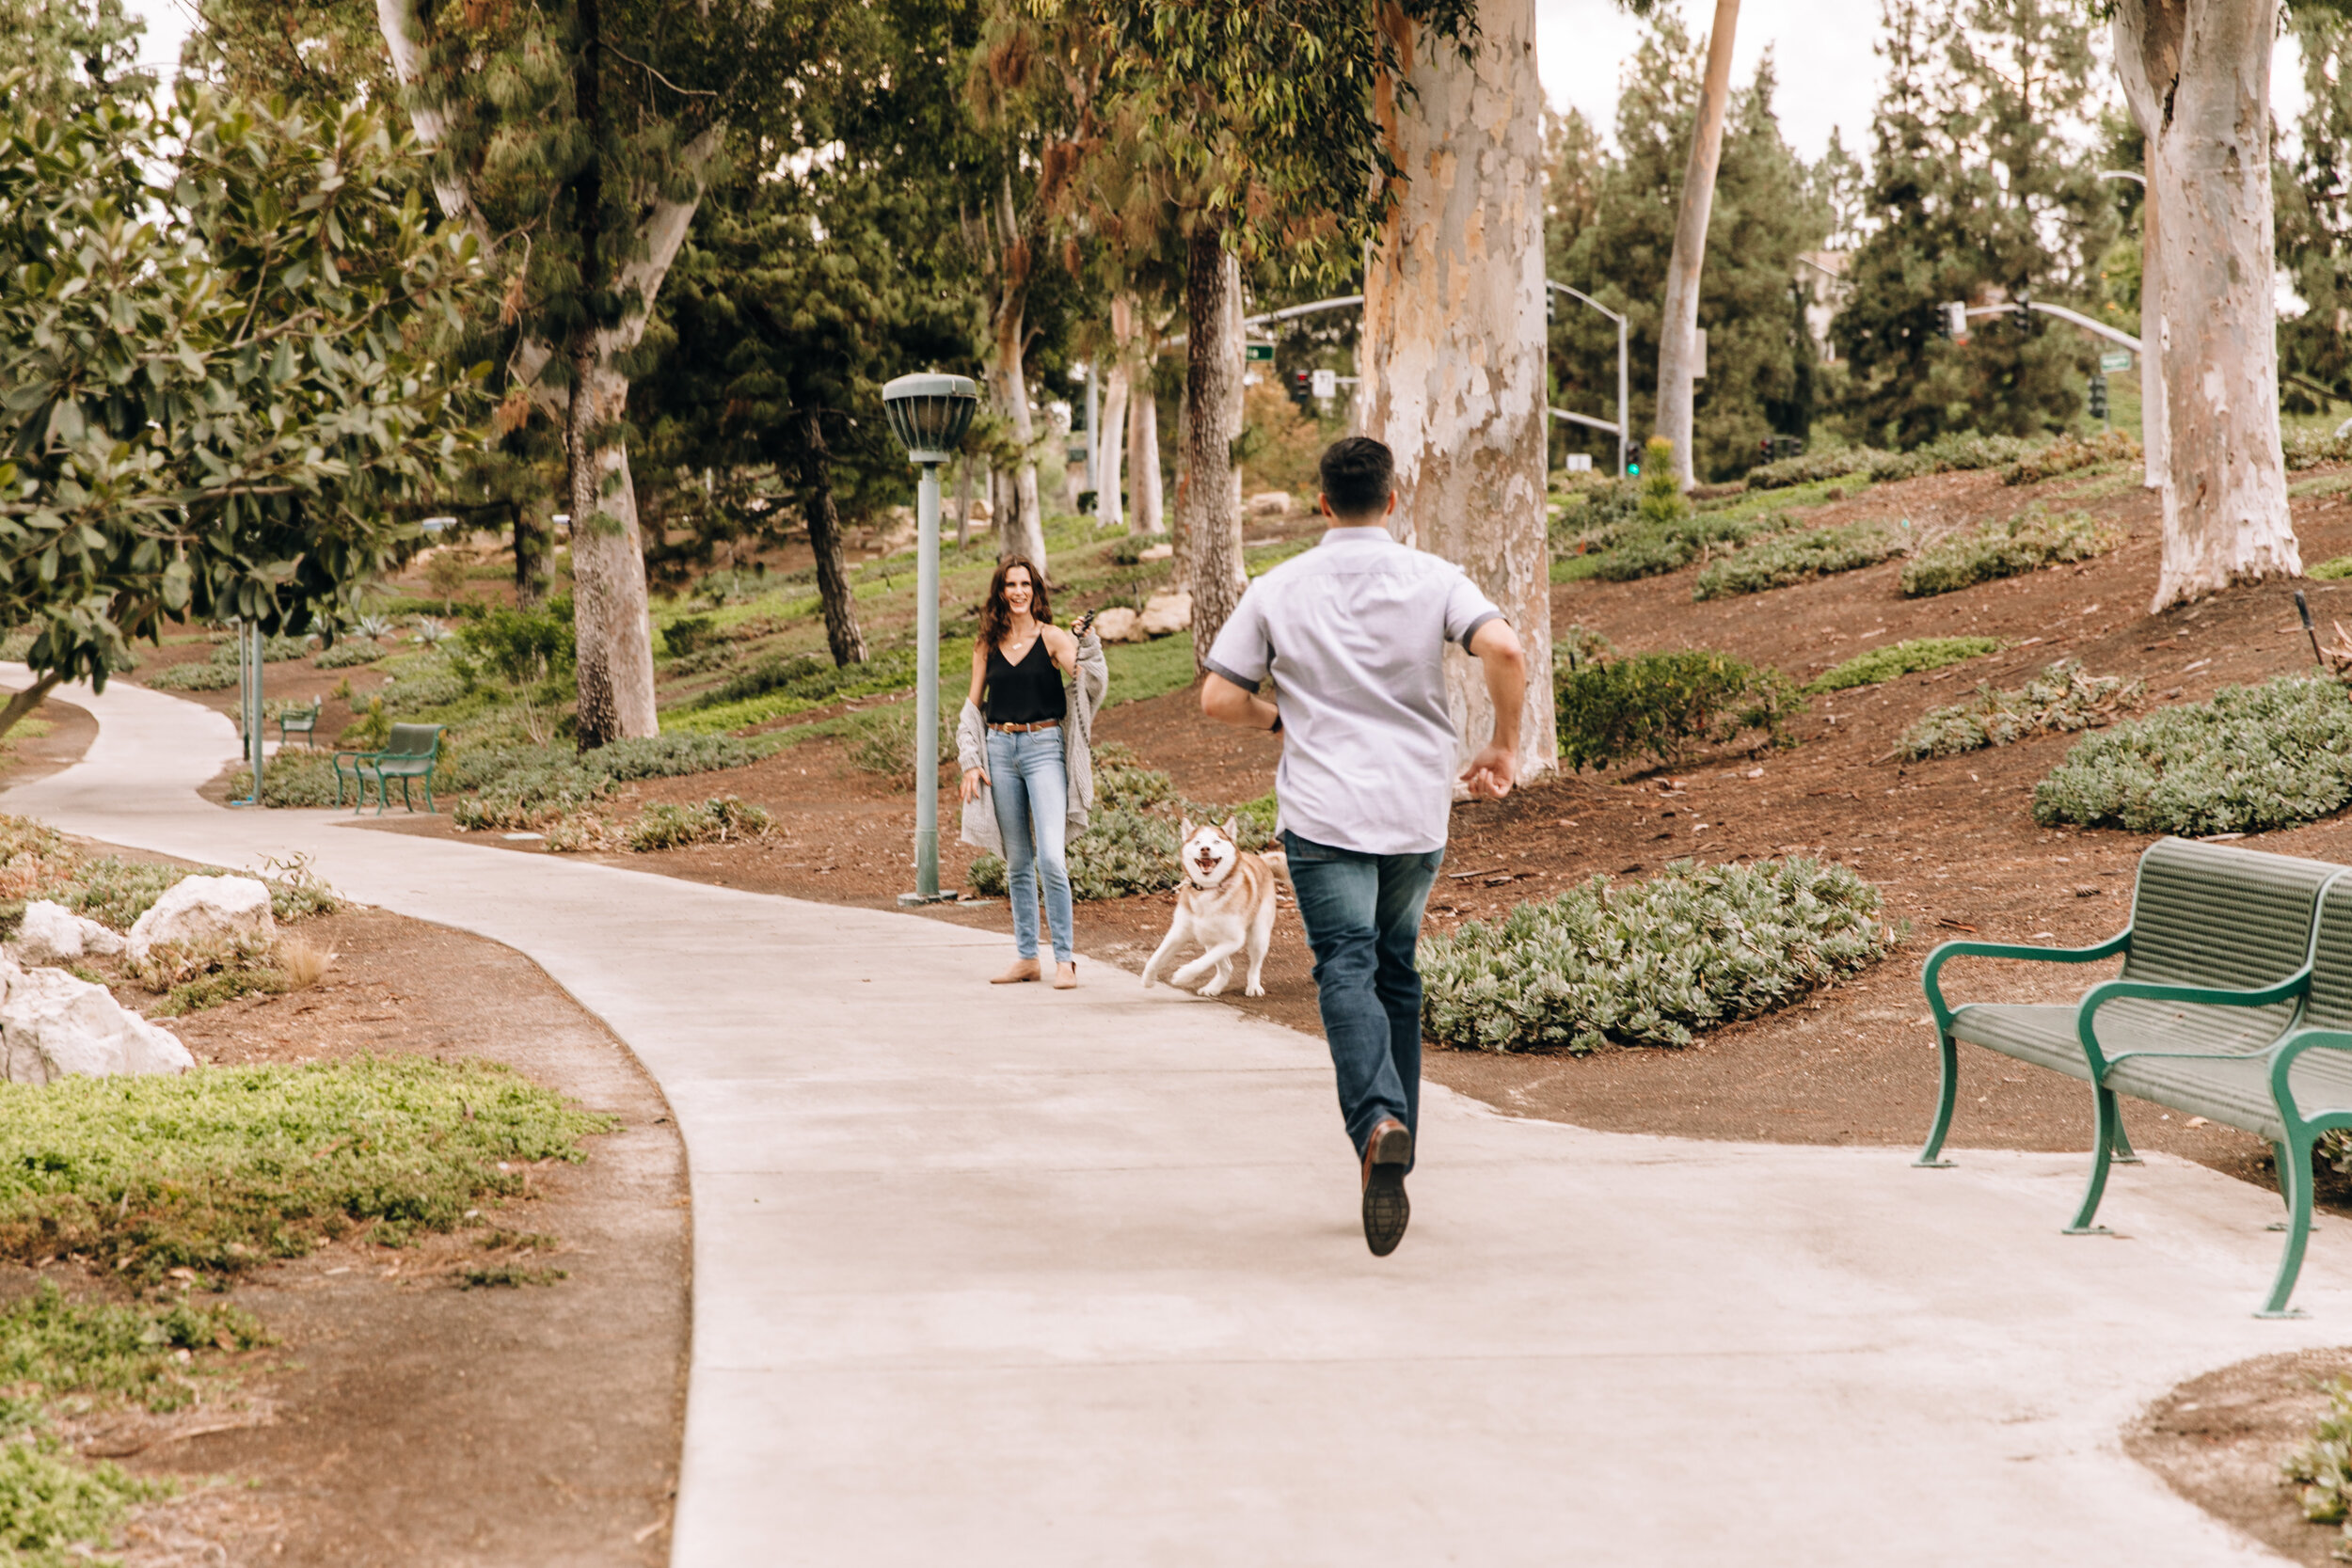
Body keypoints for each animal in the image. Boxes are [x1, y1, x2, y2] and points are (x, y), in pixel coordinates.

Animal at [1138, 817, 1289, 1001]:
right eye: (1197, 842)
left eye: (1216, 841)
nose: (1205, 849)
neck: (1207, 891)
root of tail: (1260, 860)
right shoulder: (1179, 932)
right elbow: (1156, 957)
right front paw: (1148, 978)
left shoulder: (1234, 940)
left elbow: (1202, 962)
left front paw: (1183, 975)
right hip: (1209, 938)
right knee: (1226, 967)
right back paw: (1214, 987)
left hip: (1258, 936)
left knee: (1254, 966)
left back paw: (1253, 986)